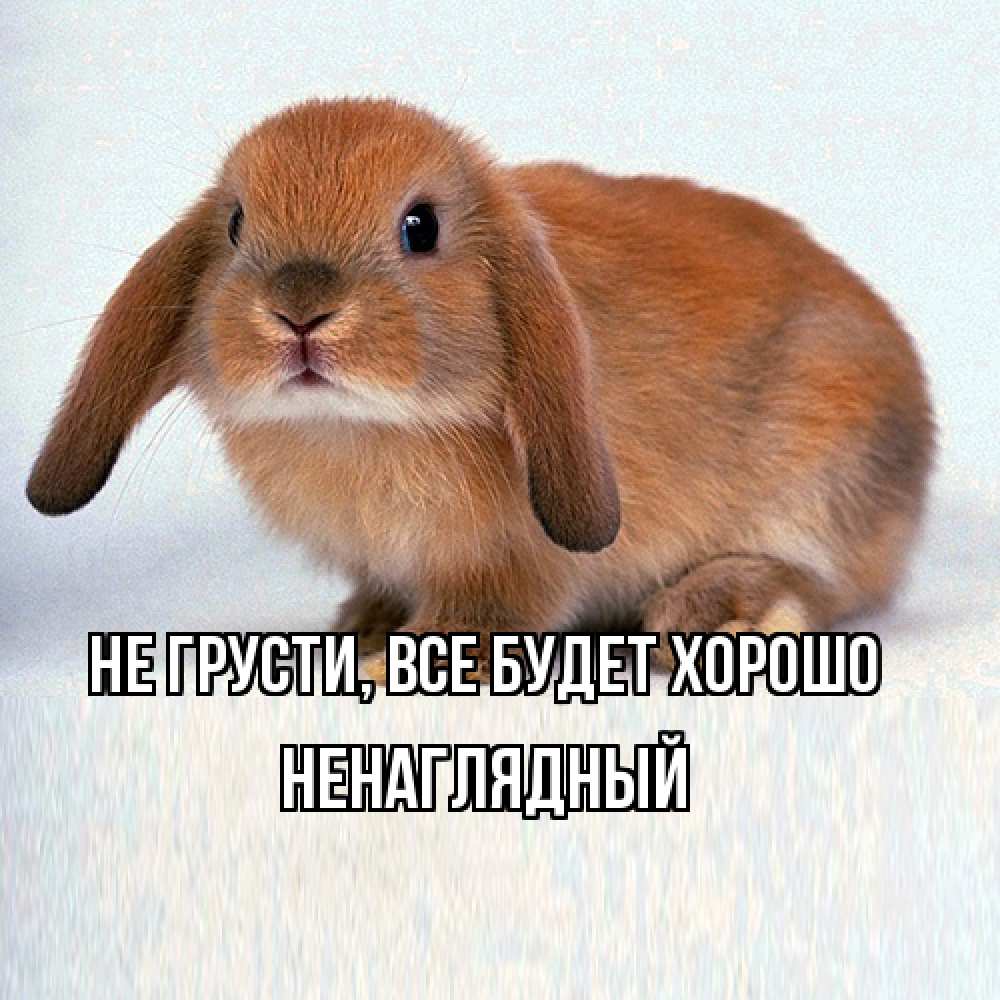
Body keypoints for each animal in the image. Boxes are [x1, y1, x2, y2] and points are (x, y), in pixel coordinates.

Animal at [27, 98, 934, 675]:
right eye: (237, 224)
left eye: (420, 227)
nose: (300, 311)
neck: (359, 428)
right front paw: (363, 633)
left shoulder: (515, 562)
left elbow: (487, 615)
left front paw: (392, 664)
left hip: (823, 474)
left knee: (825, 585)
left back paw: (716, 613)